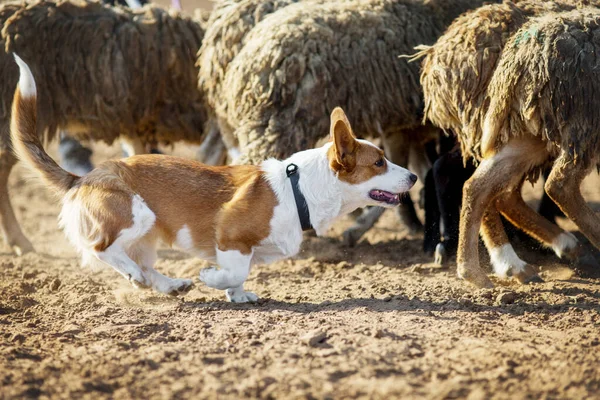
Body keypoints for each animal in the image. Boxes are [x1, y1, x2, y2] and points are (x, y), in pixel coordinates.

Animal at [10, 54, 418, 302]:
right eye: (379, 162)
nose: (414, 176)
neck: (298, 189)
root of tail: (83, 178)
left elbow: (242, 274)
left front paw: (236, 295)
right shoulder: (231, 235)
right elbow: (234, 269)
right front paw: (213, 280)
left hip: (148, 232)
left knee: (143, 264)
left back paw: (170, 284)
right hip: (135, 214)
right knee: (102, 250)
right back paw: (138, 275)